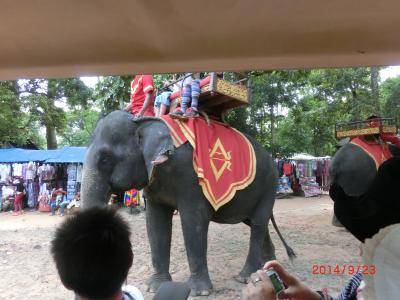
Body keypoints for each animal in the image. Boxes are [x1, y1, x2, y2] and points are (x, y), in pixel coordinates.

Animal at [80, 110, 294, 296]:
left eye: (106, 159)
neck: (144, 120)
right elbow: (156, 223)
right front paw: (155, 287)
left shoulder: (190, 177)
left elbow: (194, 221)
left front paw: (199, 292)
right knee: (257, 222)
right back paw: (268, 264)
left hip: (269, 184)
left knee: (258, 223)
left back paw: (245, 277)